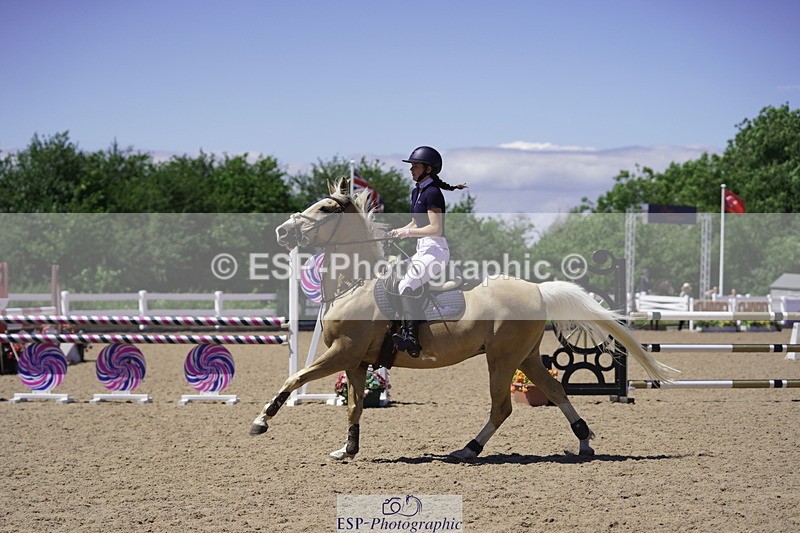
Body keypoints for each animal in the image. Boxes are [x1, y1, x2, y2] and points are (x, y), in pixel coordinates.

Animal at [250, 177, 676, 461]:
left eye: (324, 209)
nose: (282, 231)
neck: (355, 283)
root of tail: (538, 290)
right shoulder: (355, 361)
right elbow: (354, 406)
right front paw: (348, 449)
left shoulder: (342, 353)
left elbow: (294, 378)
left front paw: (262, 421)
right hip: (525, 357)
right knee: (555, 391)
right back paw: (584, 441)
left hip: (501, 359)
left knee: (502, 407)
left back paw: (468, 449)